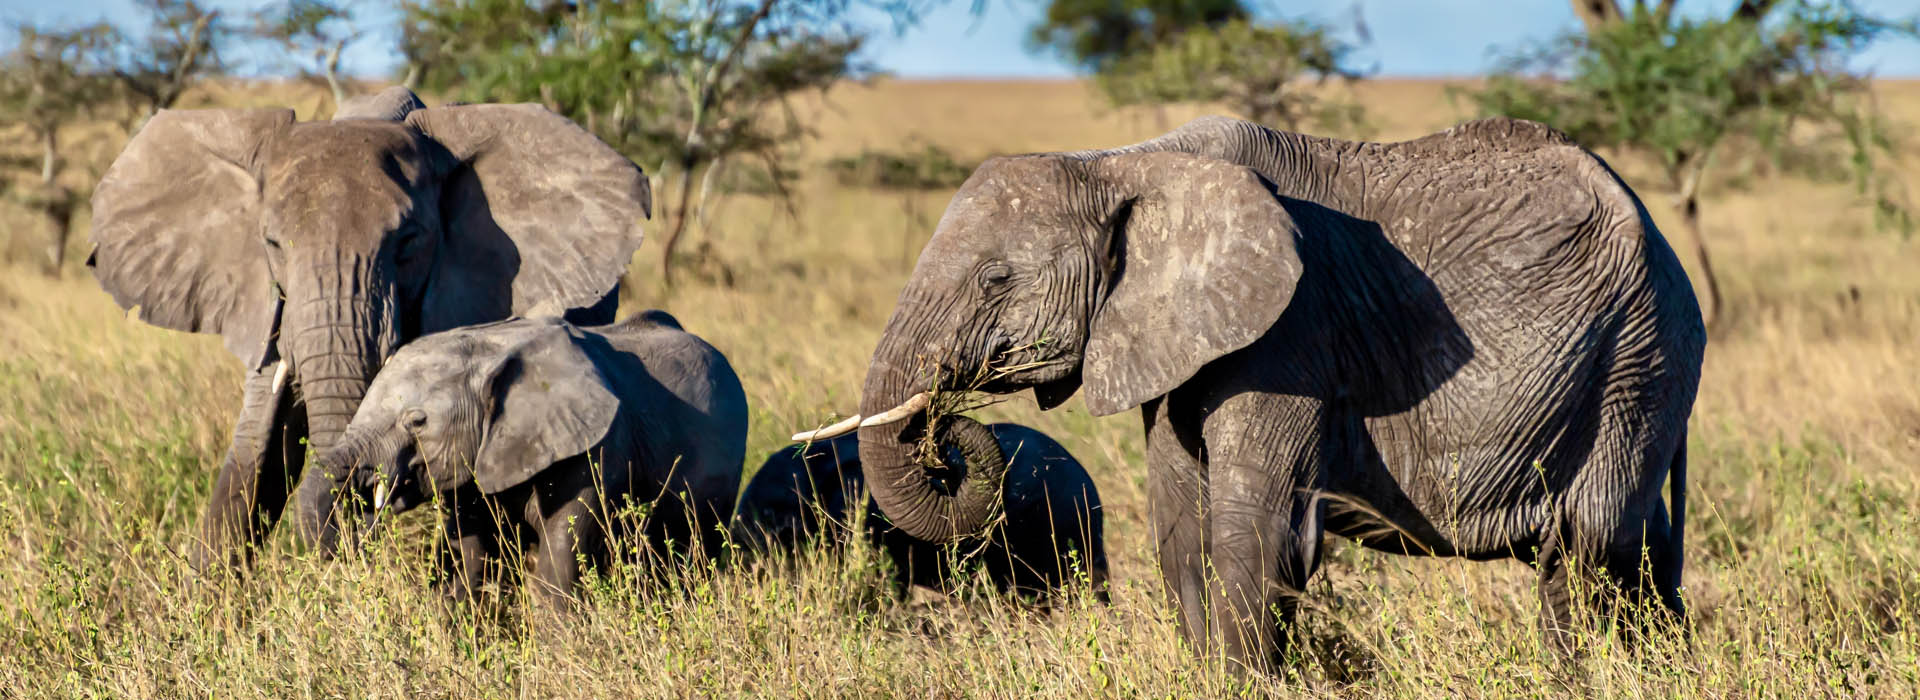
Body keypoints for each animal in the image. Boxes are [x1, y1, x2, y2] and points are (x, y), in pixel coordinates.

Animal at [311, 308, 744, 598]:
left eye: (416, 422)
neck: (491, 351)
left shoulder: (594, 450)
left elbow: (557, 570)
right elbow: (470, 563)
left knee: (689, 561)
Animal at [802, 116, 1704, 671]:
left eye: (996, 279)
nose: (948, 435)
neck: (1124, 162)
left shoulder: (1291, 331)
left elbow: (1254, 529)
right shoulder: (1175, 338)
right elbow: (1179, 524)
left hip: (1637, 356)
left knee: (1584, 547)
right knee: (1637, 552)